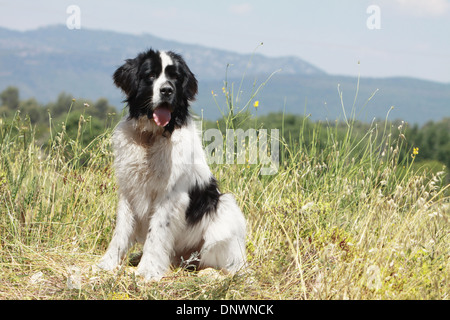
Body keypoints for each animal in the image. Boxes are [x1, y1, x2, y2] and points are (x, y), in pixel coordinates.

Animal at [97, 48, 246, 282]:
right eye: (150, 75)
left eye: (175, 77)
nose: (167, 90)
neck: (151, 137)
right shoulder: (129, 191)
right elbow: (121, 232)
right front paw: (108, 263)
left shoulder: (169, 197)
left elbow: (156, 234)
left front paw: (147, 270)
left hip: (224, 207)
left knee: (229, 265)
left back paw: (211, 273)